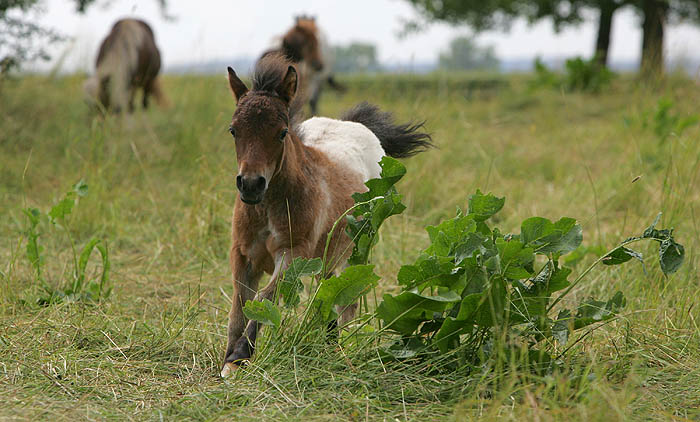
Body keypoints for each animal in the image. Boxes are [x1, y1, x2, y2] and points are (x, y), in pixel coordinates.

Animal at [221, 53, 434, 380]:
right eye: (234, 130)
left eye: (282, 132)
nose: (251, 184)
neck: (269, 207)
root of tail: (355, 125)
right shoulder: (242, 253)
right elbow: (239, 305)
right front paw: (229, 359)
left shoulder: (293, 254)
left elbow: (264, 298)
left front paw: (240, 356)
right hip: (328, 253)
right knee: (328, 289)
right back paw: (329, 339)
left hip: (359, 247)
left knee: (347, 300)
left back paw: (340, 347)